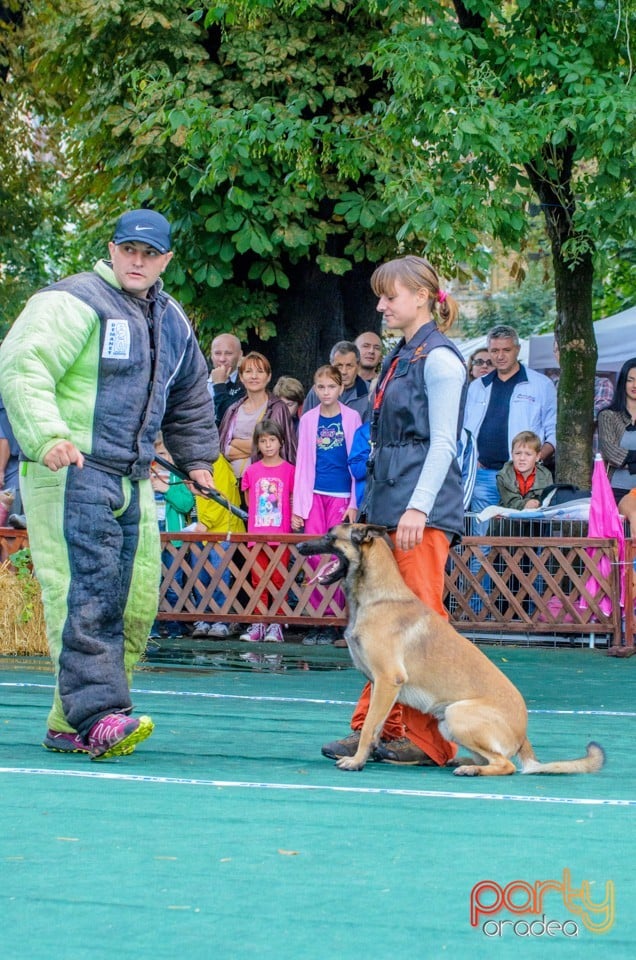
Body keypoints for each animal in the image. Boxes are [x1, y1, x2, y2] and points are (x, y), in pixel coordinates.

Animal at [298, 520, 608, 776]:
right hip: (449, 723)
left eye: (329, 537)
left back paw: (471, 769)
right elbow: (372, 727)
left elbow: (368, 729)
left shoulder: (388, 680)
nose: (299, 546)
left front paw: (356, 761)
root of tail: (523, 736)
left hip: (457, 714)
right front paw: (363, 756)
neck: (377, 597)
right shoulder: (378, 685)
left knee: (505, 765)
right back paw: (464, 761)